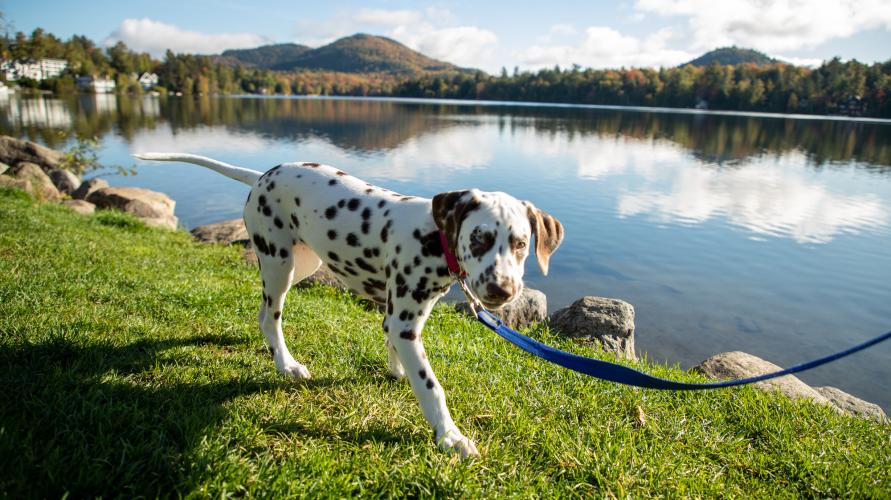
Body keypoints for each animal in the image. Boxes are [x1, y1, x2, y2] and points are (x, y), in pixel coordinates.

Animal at [134, 153, 564, 458]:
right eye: (479, 237)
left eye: (521, 243)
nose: (502, 290)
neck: (433, 237)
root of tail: (261, 175)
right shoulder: (405, 321)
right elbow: (432, 387)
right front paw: (450, 436)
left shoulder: (403, 316)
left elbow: (392, 342)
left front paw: (398, 372)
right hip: (278, 262)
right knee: (271, 316)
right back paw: (286, 363)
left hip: (305, 263)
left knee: (263, 310)